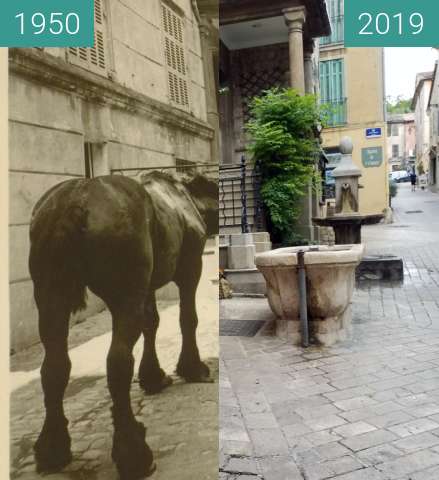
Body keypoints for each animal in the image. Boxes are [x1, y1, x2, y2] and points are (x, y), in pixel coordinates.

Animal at [27, 172, 218, 480]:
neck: (188, 198)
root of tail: (75, 201)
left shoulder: (148, 286)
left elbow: (152, 323)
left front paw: (153, 376)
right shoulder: (190, 269)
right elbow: (187, 318)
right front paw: (193, 368)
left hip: (50, 297)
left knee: (54, 366)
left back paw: (52, 448)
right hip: (124, 294)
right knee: (117, 362)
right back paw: (134, 453)